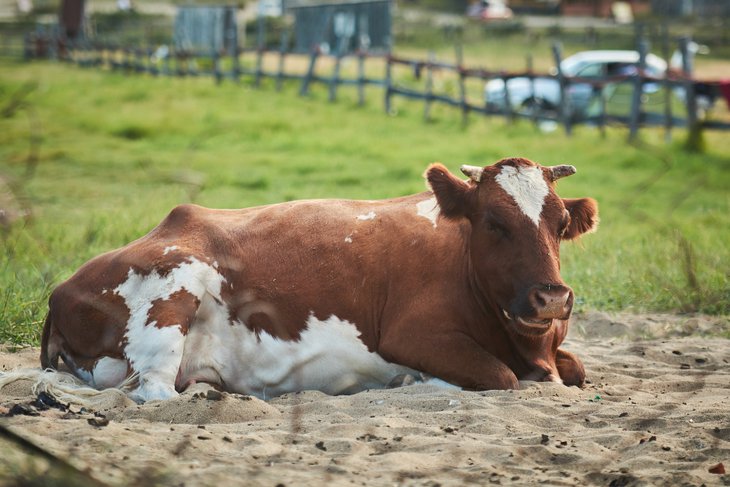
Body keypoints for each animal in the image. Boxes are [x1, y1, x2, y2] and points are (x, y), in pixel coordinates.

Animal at [40, 157, 598, 403]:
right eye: (494, 223)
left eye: (560, 225)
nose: (551, 298)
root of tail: (61, 289)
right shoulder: (413, 335)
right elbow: (502, 378)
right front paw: (418, 379)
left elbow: (576, 370)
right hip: (170, 295)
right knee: (155, 391)